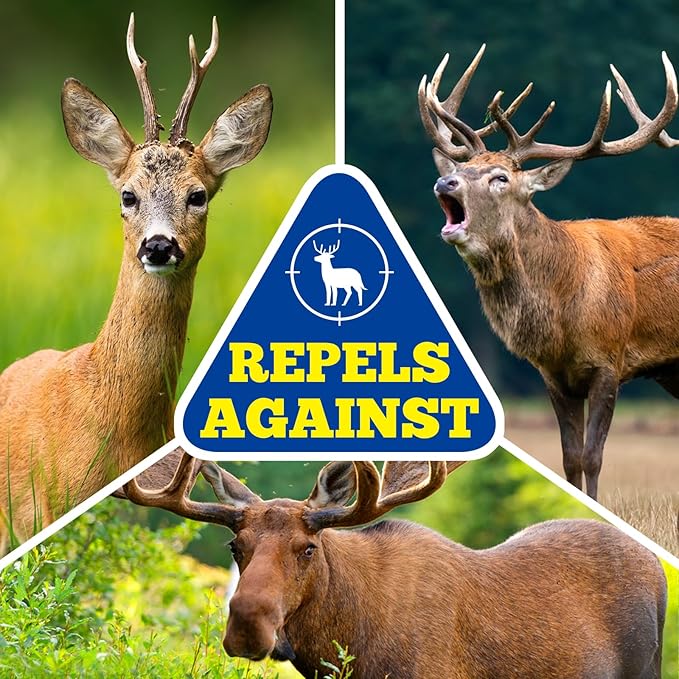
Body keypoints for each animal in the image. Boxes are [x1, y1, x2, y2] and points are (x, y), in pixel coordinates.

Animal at [418, 45, 679, 501]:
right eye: (462, 169)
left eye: (500, 178)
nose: (444, 183)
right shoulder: (554, 376)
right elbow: (569, 459)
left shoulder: (609, 360)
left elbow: (592, 457)